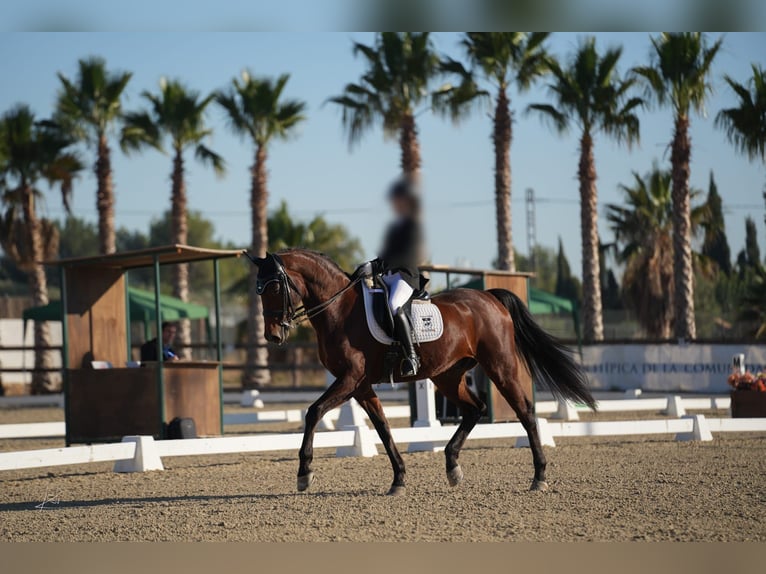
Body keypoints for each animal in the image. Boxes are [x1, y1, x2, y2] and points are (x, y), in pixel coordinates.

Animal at [249, 250, 596, 498]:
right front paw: (399, 479)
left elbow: (314, 411)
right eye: (258, 290)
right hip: (447, 376)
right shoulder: (360, 386)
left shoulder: (350, 378)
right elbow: (383, 428)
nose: (272, 336)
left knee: (524, 411)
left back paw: (539, 476)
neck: (340, 310)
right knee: (476, 409)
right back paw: (452, 465)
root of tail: (489, 297)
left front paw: (304, 474)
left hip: (500, 366)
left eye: (275, 286)